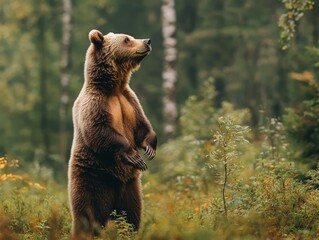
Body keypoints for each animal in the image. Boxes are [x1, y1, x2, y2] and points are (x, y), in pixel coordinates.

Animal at [68, 29, 158, 238]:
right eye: (127, 39)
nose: (147, 41)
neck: (113, 87)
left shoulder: (130, 101)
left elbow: (142, 126)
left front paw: (149, 148)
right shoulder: (95, 104)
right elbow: (100, 131)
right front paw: (134, 156)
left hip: (130, 188)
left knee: (132, 214)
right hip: (93, 179)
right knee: (87, 215)